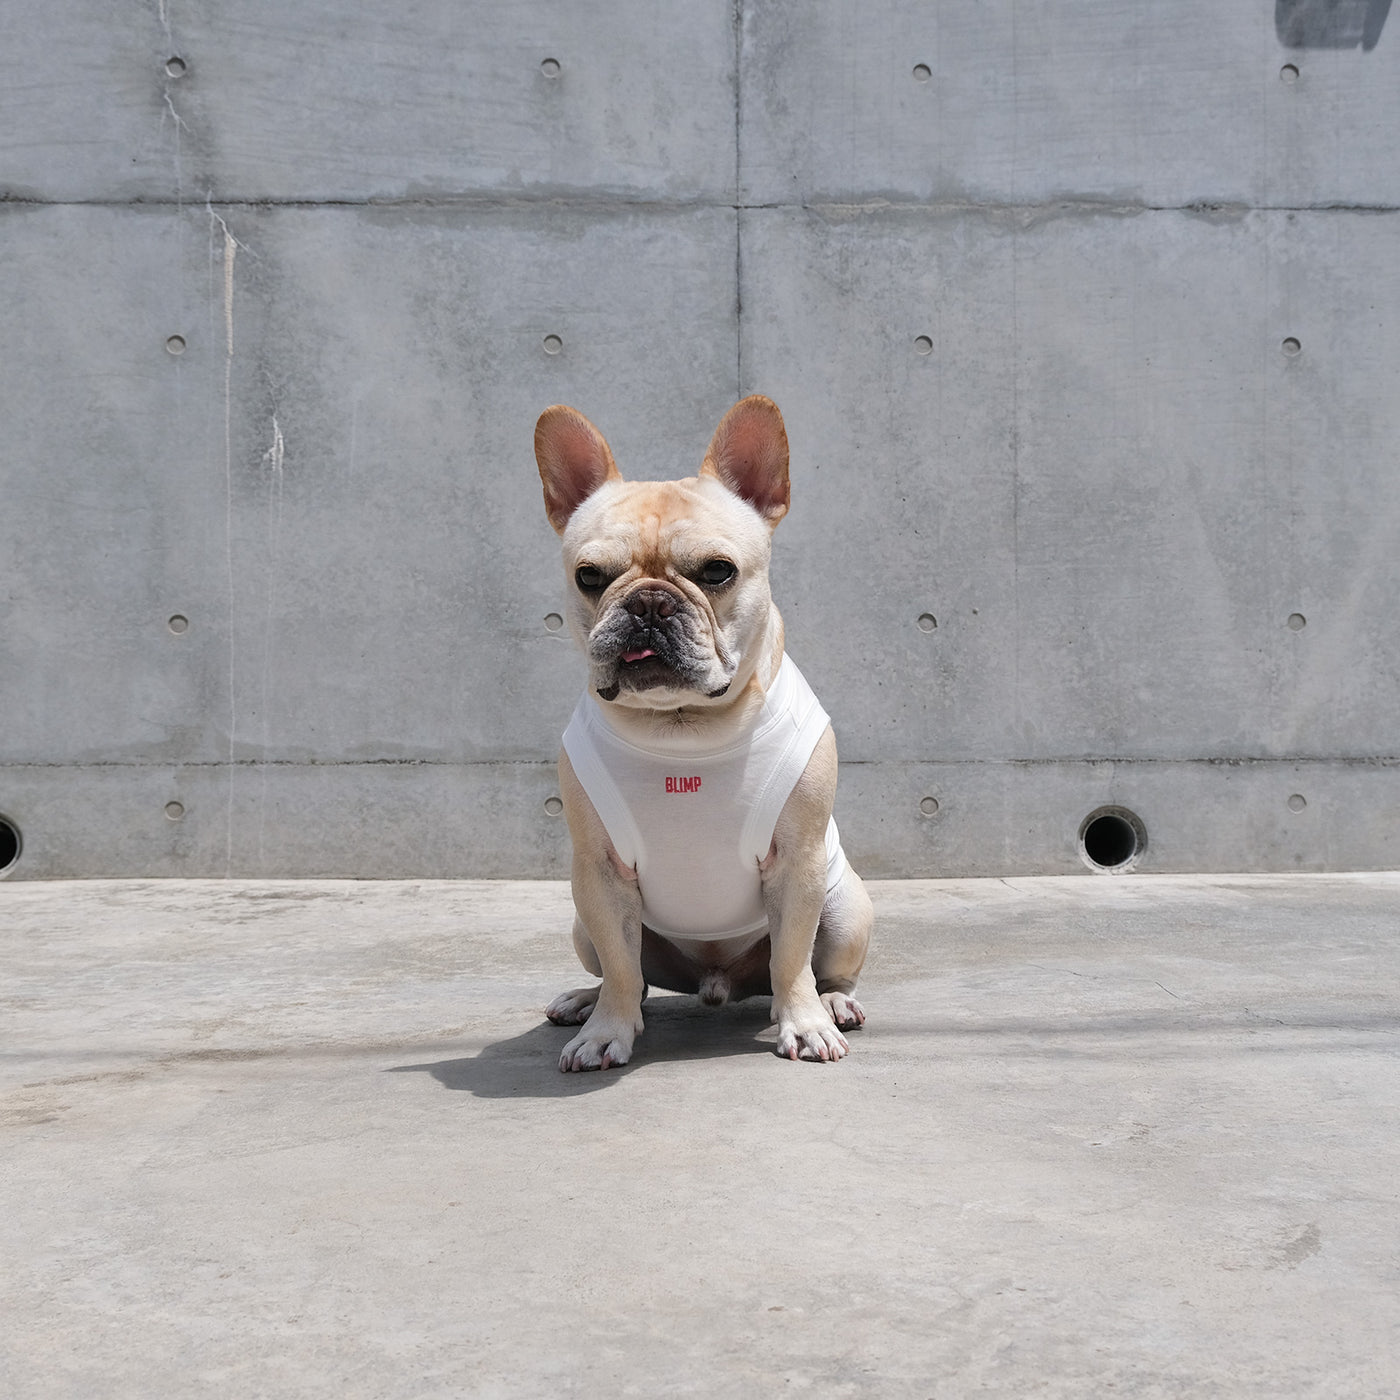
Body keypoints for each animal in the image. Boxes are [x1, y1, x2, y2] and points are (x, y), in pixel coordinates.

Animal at [534, 395, 873, 1072]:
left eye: (717, 571)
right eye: (589, 576)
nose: (647, 604)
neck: (682, 725)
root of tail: (718, 983)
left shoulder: (798, 863)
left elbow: (792, 957)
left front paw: (805, 1024)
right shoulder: (598, 872)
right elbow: (621, 966)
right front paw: (607, 1030)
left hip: (846, 907)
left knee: (820, 967)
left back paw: (835, 1003)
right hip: (583, 922)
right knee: (628, 972)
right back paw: (586, 1001)